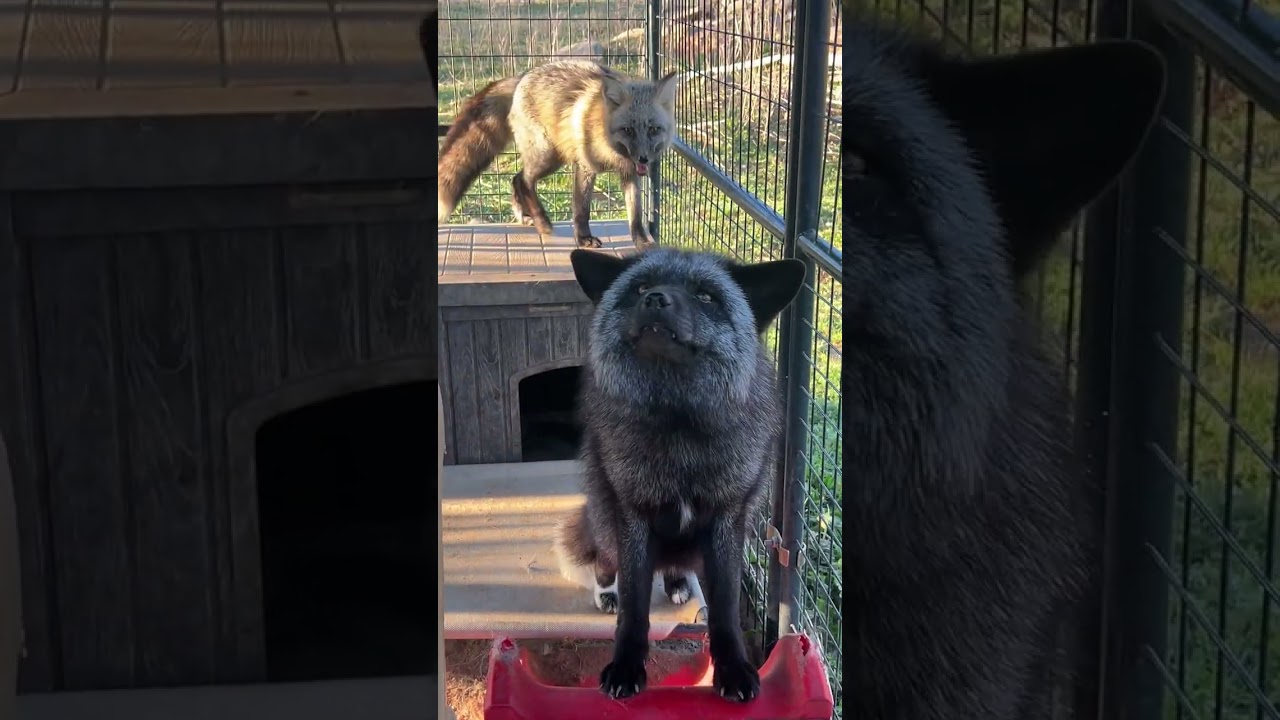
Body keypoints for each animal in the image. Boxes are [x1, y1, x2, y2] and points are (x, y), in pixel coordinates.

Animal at [437, 61, 680, 250]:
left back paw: (526, 216)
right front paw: (583, 239)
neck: (611, 150)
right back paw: (541, 221)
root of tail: (521, 77)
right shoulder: (585, 166)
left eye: (653, 129)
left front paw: (641, 242)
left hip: (552, 159)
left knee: (516, 178)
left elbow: (636, 214)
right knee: (524, 180)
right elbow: (581, 209)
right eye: (628, 130)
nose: (644, 159)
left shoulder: (629, 173)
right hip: (547, 156)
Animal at [553, 247, 805, 701]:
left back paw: (676, 583)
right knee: (604, 560)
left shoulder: (728, 521)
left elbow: (724, 609)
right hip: (606, 525)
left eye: (706, 295)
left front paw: (733, 669)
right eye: (638, 287)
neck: (678, 432)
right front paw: (625, 666)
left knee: (675, 566)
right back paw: (607, 591)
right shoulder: (632, 516)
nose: (655, 299)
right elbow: (634, 607)